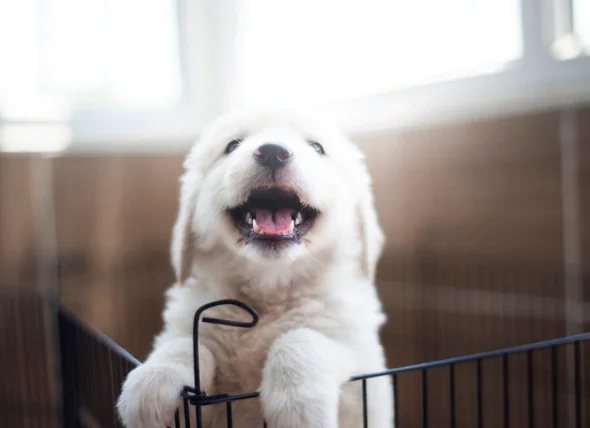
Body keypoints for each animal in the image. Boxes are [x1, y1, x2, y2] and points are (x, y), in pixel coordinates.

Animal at [115, 111, 394, 428]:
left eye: (317, 147)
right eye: (232, 145)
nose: (273, 151)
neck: (268, 291)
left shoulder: (363, 374)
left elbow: (302, 339)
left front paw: (296, 407)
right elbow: (185, 343)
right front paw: (153, 379)